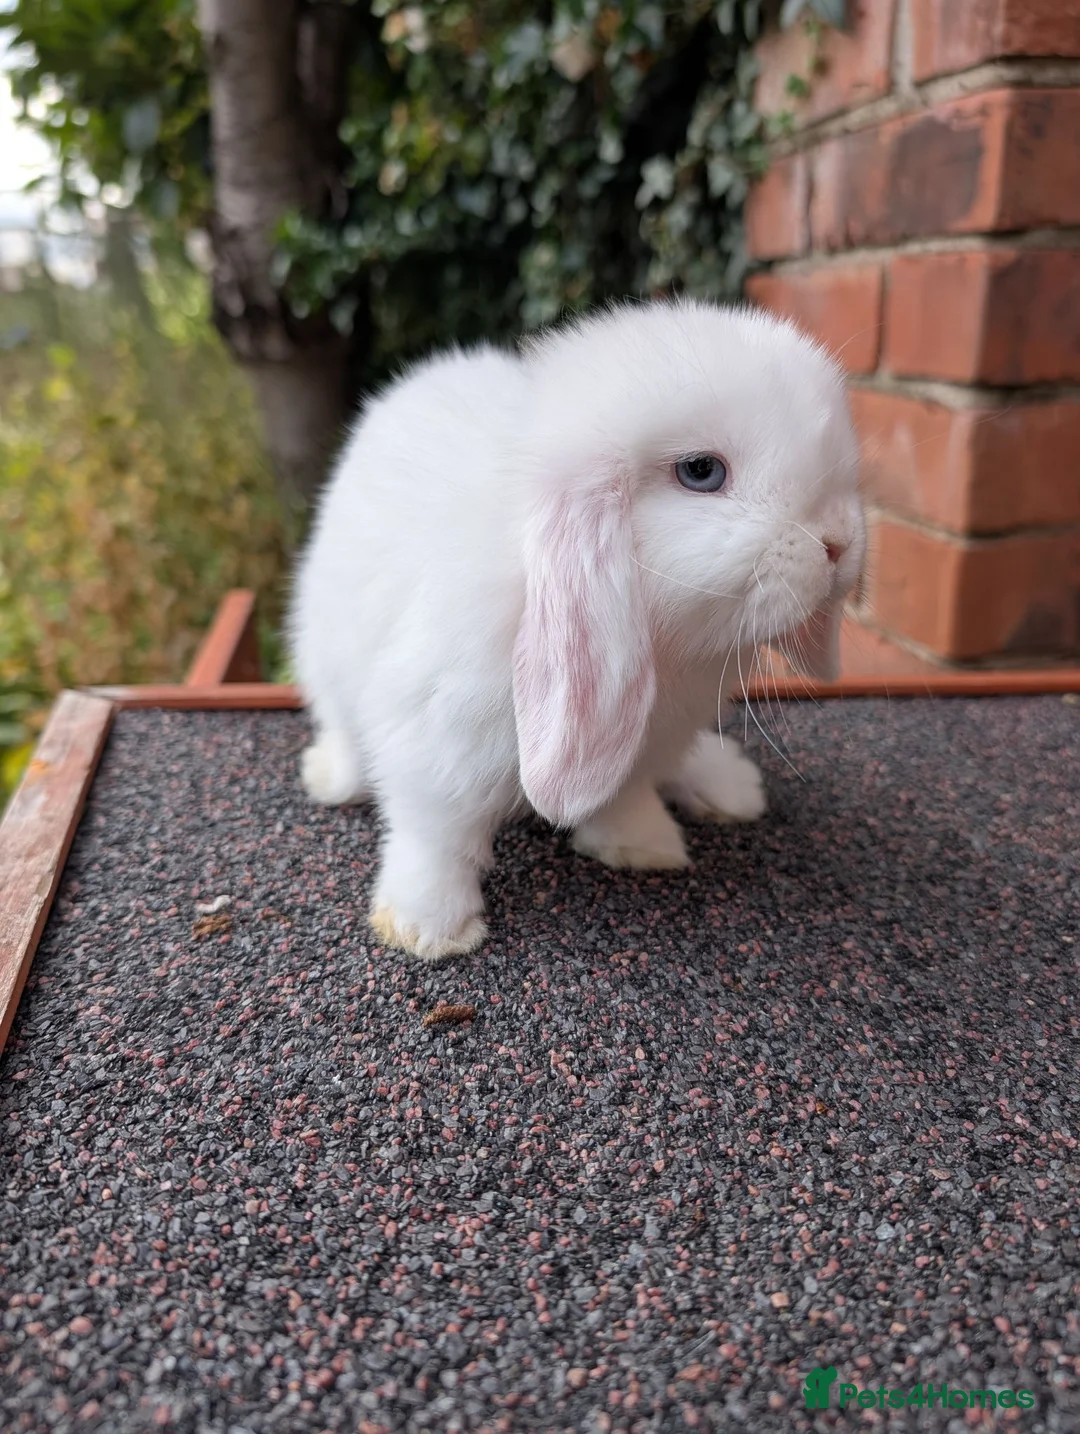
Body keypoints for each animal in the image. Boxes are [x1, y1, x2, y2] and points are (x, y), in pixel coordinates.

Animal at [289, 298, 866, 960]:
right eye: (701, 471)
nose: (839, 544)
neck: (667, 650)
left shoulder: (642, 746)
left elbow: (627, 797)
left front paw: (642, 848)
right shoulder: (434, 743)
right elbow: (436, 837)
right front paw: (429, 929)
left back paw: (729, 786)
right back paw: (329, 776)